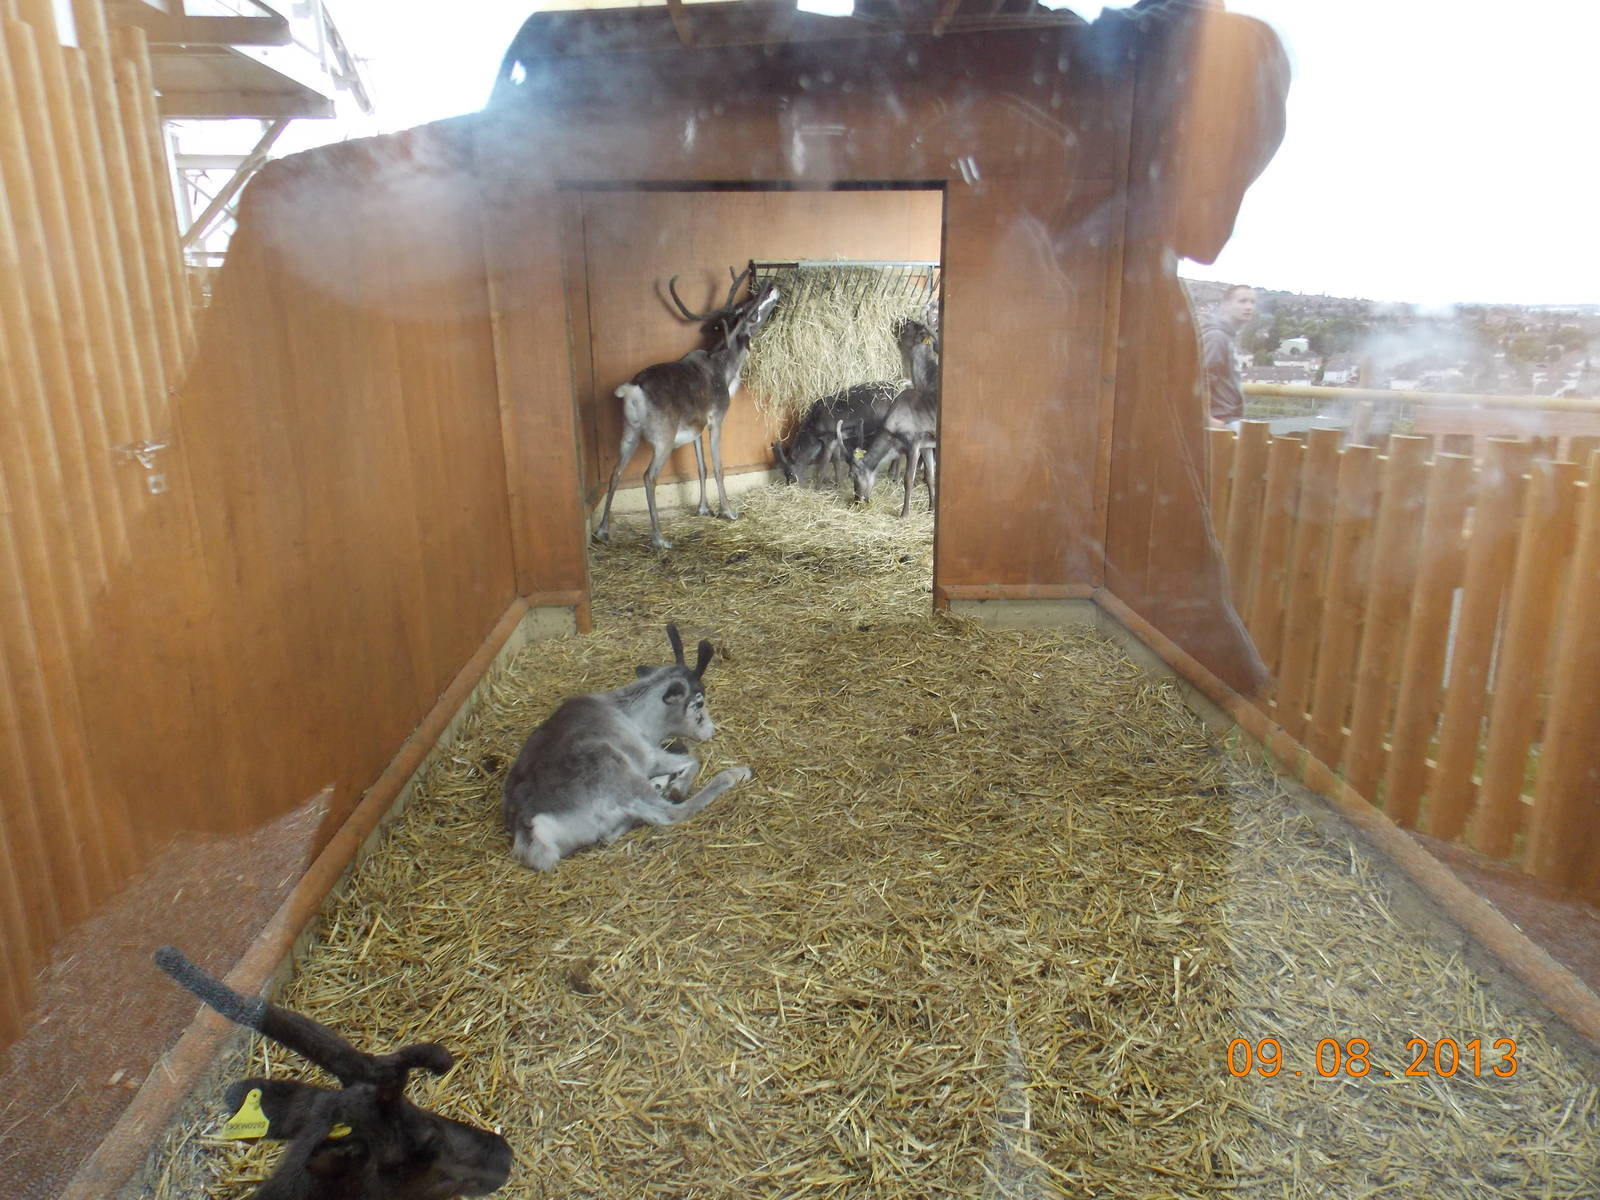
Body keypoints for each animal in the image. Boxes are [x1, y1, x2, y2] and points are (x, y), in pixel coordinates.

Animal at [593, 264, 780, 550]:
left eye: (745, 305)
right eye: (749, 311)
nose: (772, 287)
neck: (727, 372)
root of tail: (633, 390)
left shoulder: (695, 428)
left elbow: (701, 467)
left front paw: (703, 508)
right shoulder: (716, 419)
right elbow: (718, 466)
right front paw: (728, 511)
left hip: (629, 431)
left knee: (616, 472)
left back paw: (603, 530)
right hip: (663, 438)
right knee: (648, 476)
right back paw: (660, 538)